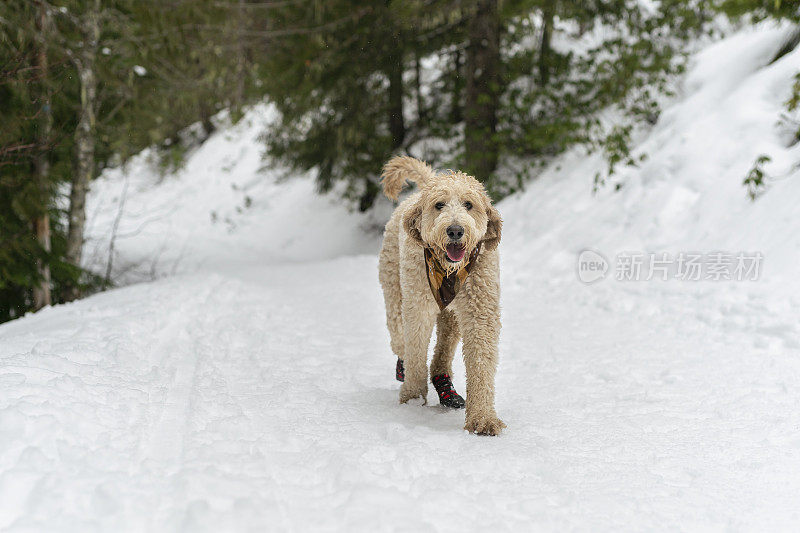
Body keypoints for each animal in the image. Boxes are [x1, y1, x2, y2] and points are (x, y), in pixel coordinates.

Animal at [376, 155, 504, 436]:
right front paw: (412, 397)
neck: (448, 271)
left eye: (469, 204)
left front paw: (482, 418)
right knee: (398, 336)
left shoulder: (480, 312)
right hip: (394, 287)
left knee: (442, 350)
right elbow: (415, 349)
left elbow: (481, 363)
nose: (455, 230)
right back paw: (404, 367)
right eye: (439, 205)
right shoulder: (418, 307)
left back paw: (445, 387)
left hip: (451, 315)